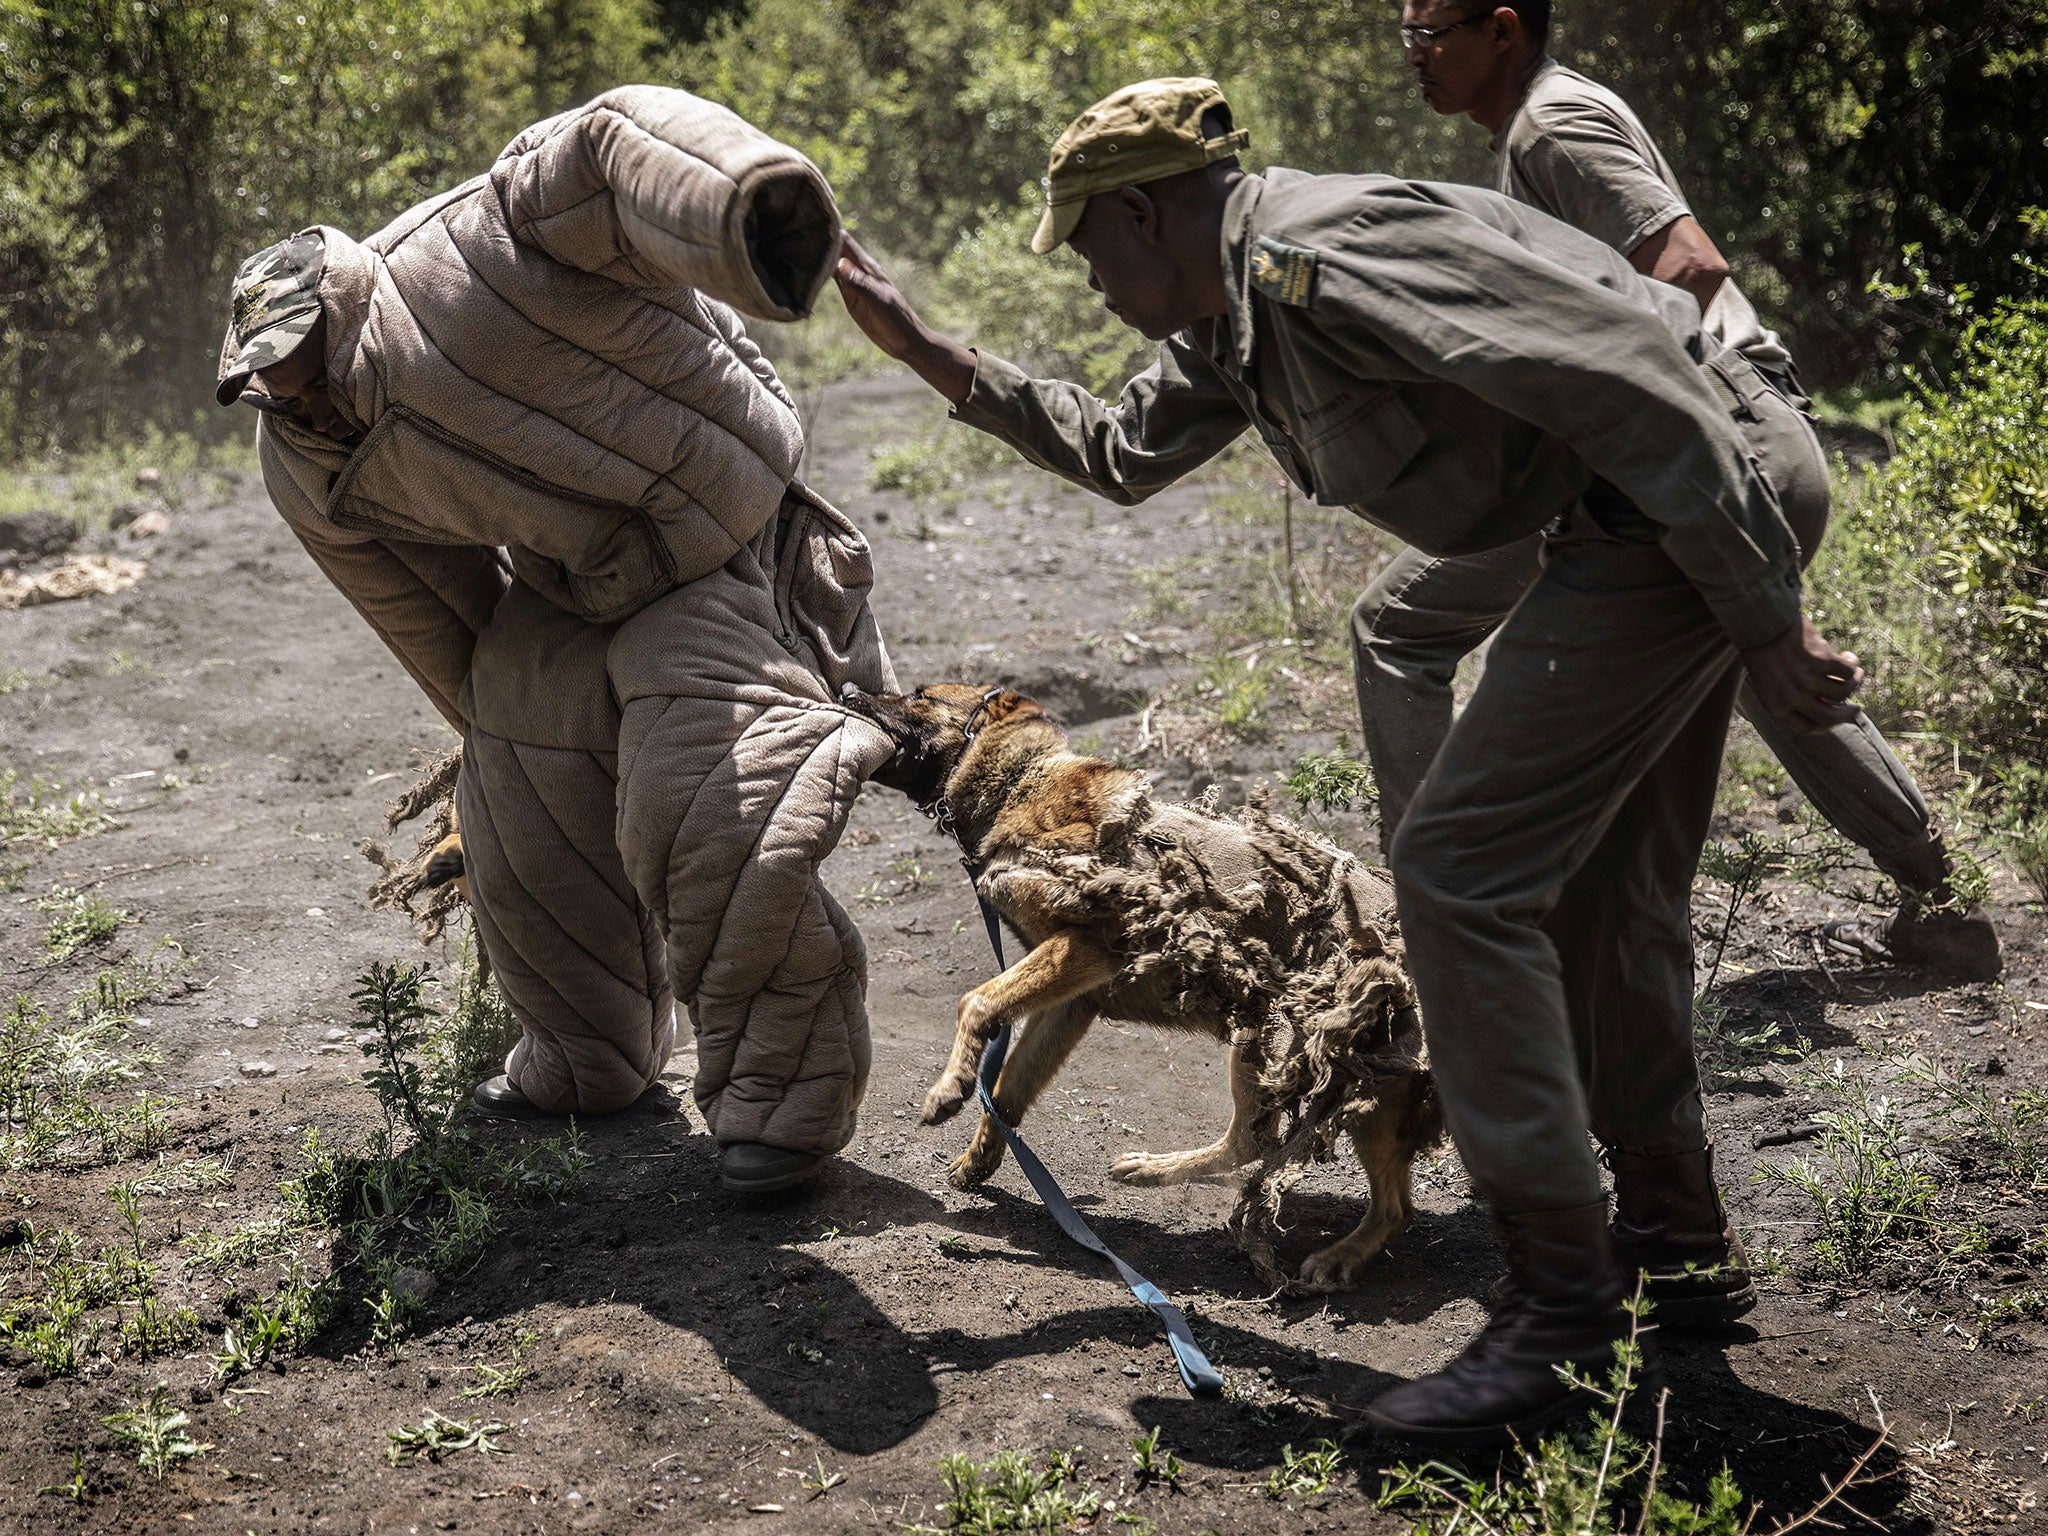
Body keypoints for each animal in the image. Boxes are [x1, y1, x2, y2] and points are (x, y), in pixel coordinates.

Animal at [839, 679, 1449, 1294]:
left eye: (919, 696)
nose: (845, 688)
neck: (1020, 784)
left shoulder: (1093, 942)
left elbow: (976, 1001)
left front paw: (951, 1089)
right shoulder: (1073, 997)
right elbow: (1009, 1092)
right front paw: (979, 1159)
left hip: (1334, 1069)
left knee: (1385, 1205)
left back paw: (1338, 1256)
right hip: (1270, 1046)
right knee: (1259, 1143)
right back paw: (1155, 1170)